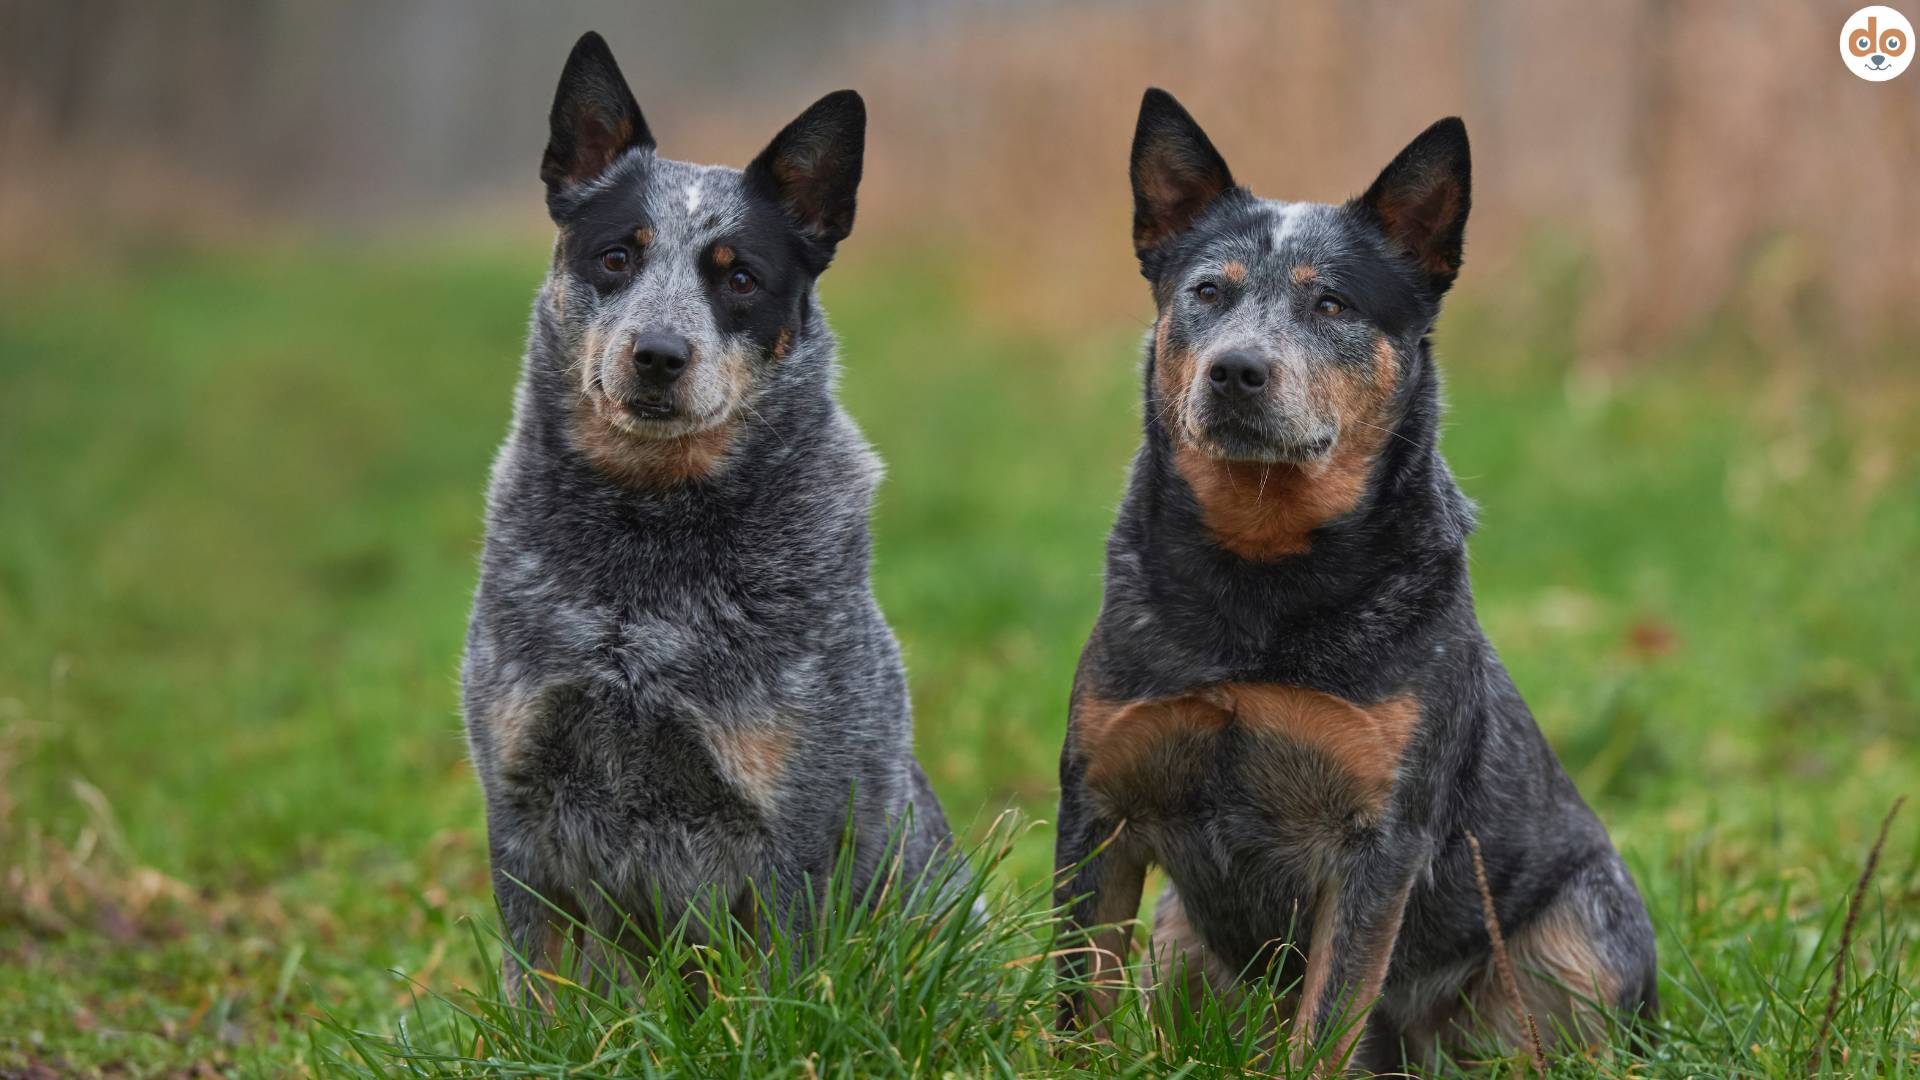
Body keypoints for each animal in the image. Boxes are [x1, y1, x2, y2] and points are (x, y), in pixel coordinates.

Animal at [456, 33, 952, 991]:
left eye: (741, 278)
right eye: (617, 256)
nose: (657, 353)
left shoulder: (791, 832)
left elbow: (776, 990)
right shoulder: (521, 806)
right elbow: (540, 990)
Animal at [1044, 88, 1658, 1060]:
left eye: (1331, 302)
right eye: (1207, 292)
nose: (1236, 369)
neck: (1260, 578)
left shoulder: (1379, 842)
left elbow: (1328, 1020)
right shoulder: (1099, 802)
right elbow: (1077, 1002)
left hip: (1583, 940)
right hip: (1176, 938)